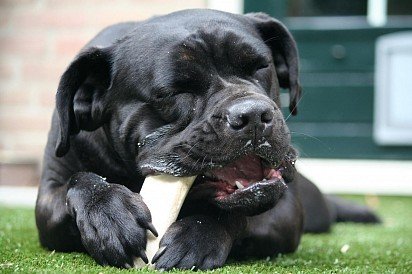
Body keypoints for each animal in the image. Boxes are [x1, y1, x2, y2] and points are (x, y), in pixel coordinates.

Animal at [36, 8, 380, 270]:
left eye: (261, 67)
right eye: (174, 92)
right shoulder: (49, 195)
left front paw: (196, 237)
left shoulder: (286, 208)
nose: (252, 114)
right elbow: (77, 182)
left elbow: (237, 211)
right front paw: (108, 213)